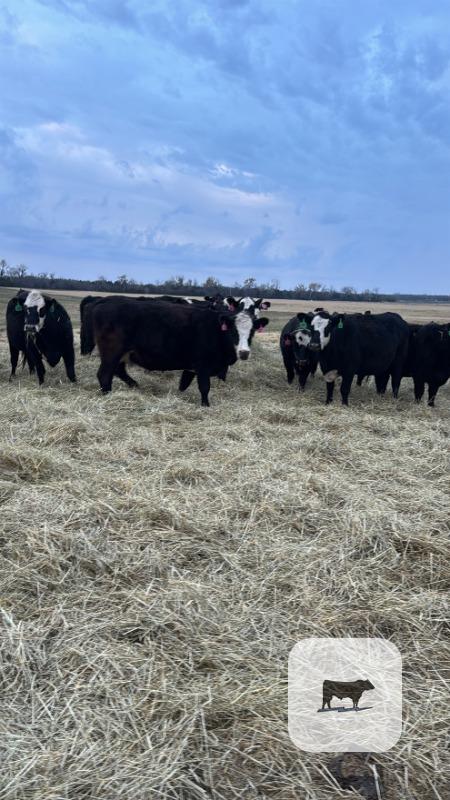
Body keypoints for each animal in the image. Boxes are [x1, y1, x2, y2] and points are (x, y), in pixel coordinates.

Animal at [87, 296, 269, 405]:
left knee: (118, 371)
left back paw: (134, 385)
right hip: (112, 353)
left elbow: (183, 385)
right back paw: (108, 395)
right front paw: (205, 405)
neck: (216, 329)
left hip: (122, 354)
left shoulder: (191, 368)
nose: (244, 352)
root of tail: (104, 302)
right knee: (104, 374)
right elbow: (204, 387)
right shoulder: (203, 366)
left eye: (252, 331)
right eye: (233, 331)